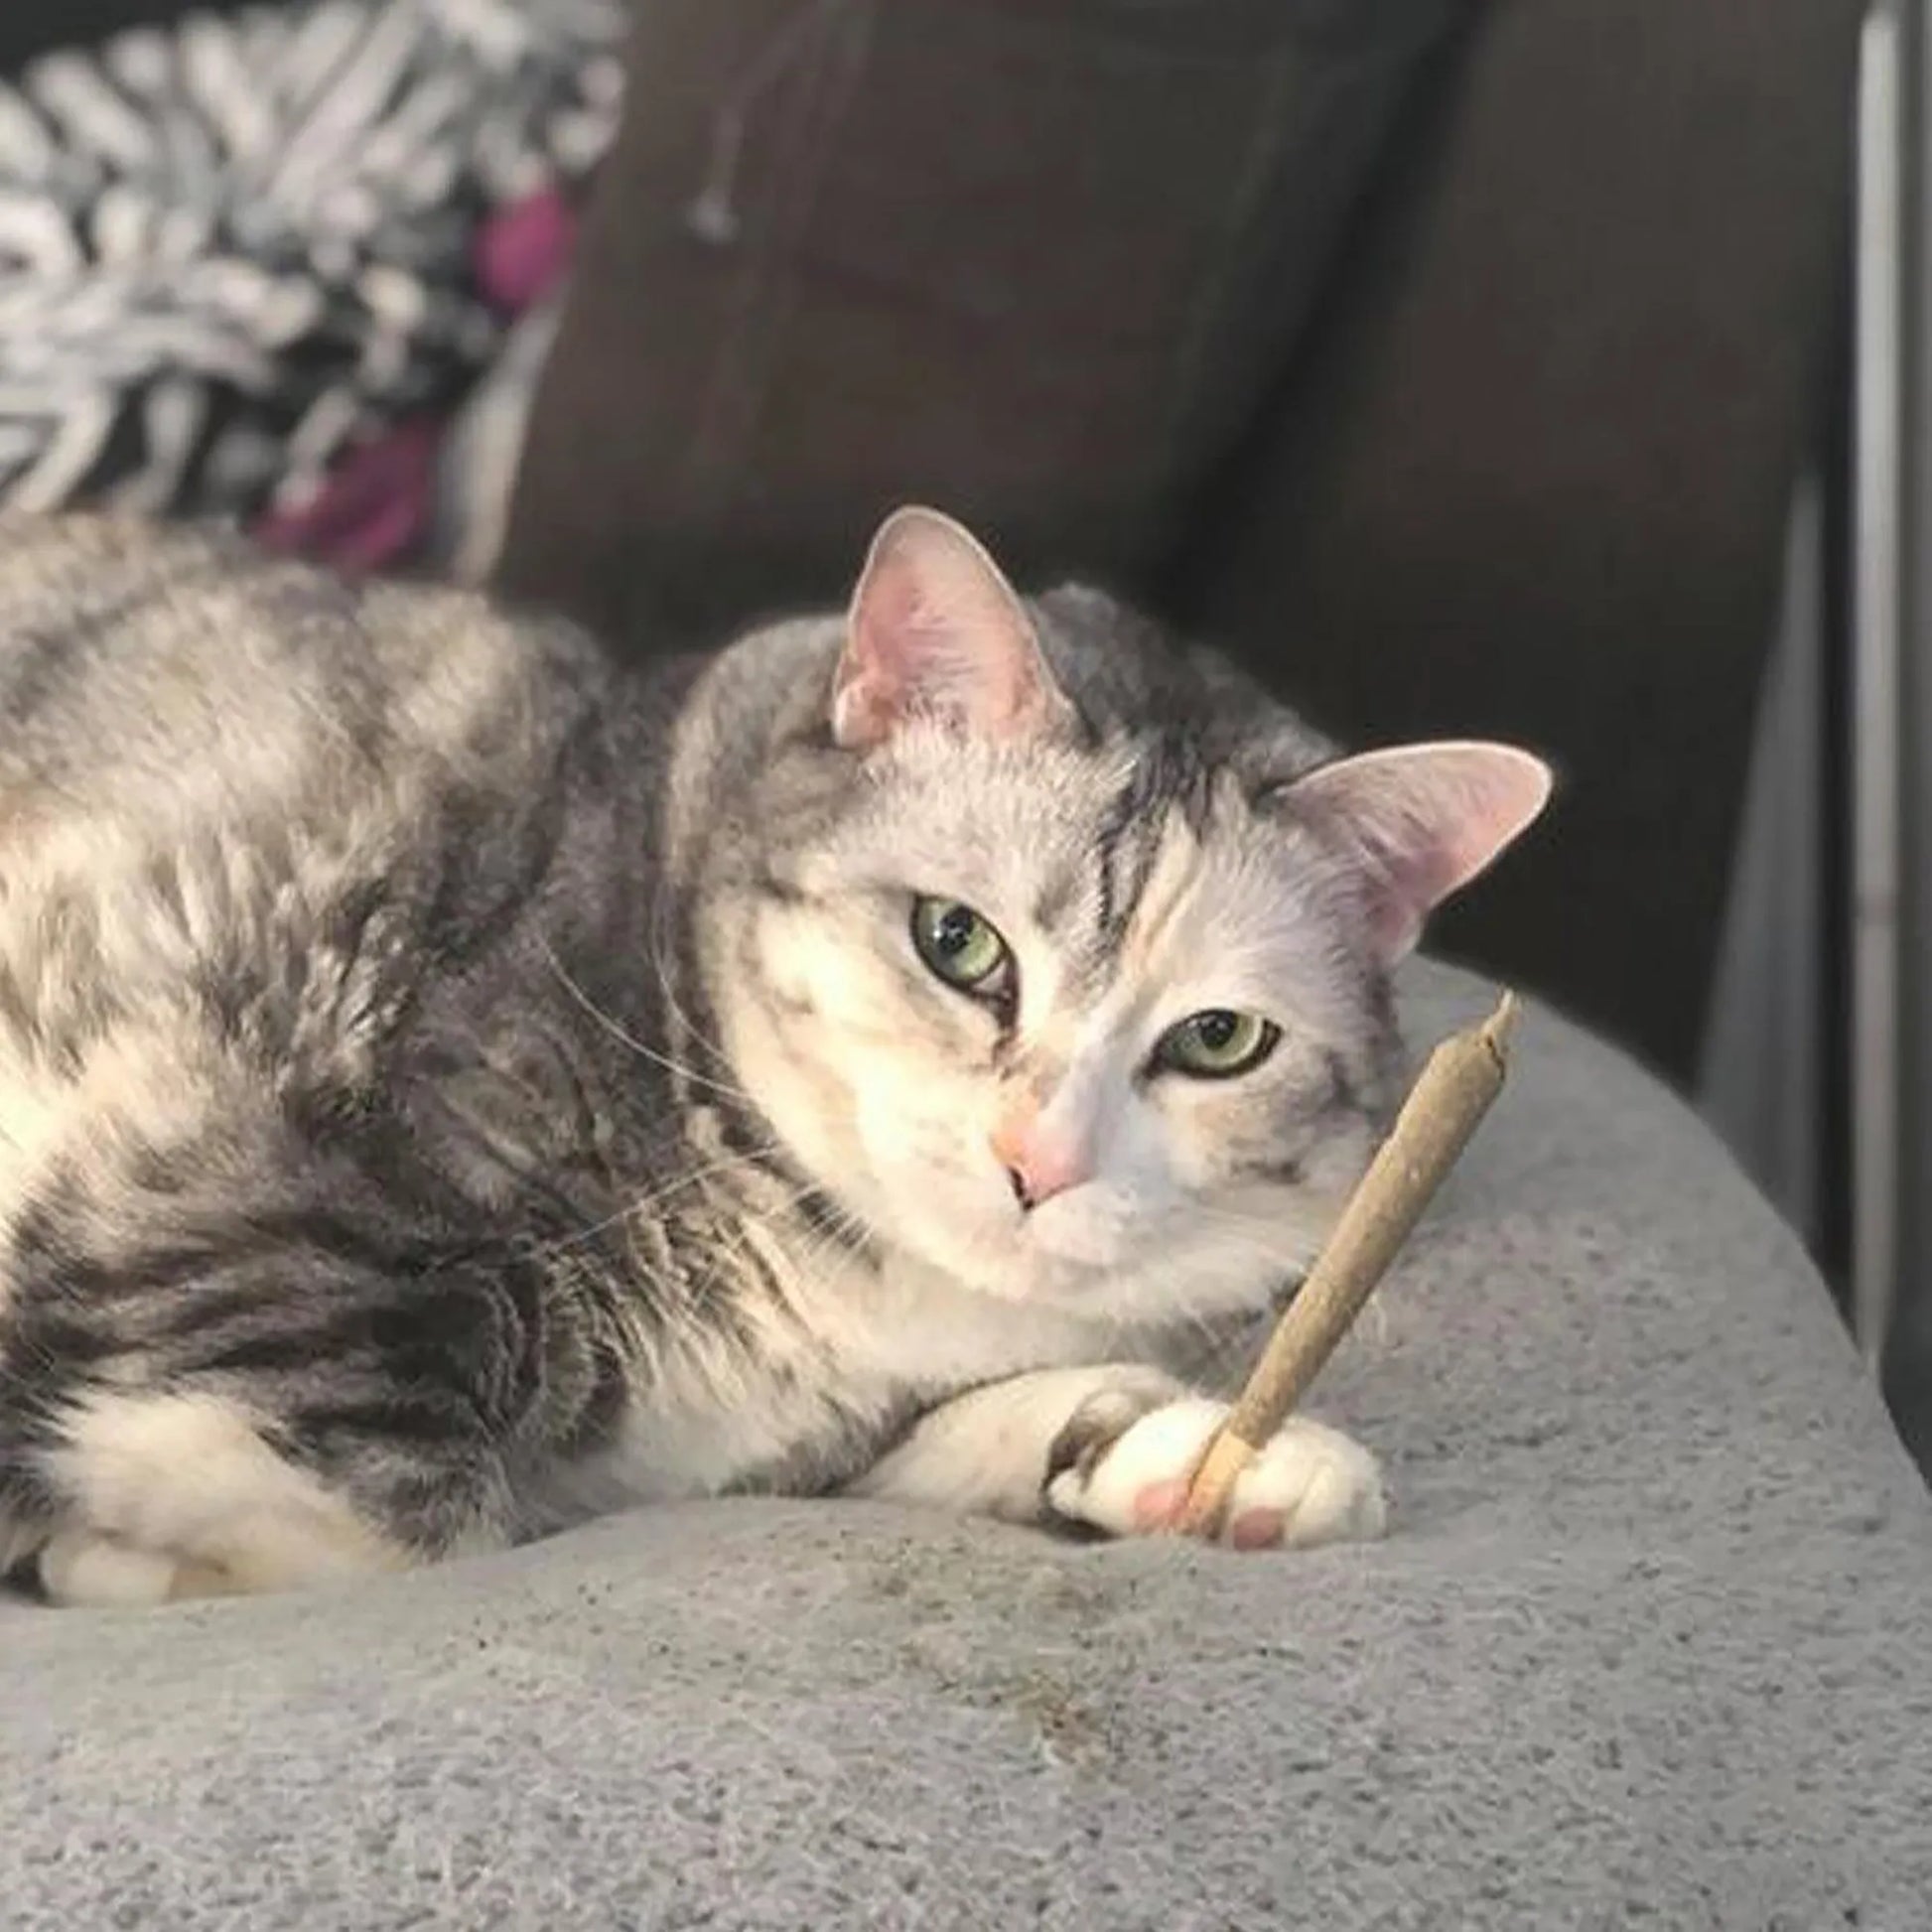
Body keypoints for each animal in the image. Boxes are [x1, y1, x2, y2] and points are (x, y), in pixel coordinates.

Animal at [0, 498, 1545, 1599]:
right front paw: (113, 1557)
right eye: (957, 940)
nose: (1035, 1159)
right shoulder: (219, 1199)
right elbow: (419, 1516)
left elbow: (994, 1430)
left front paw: (1220, 1462)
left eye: (1217, 1038)